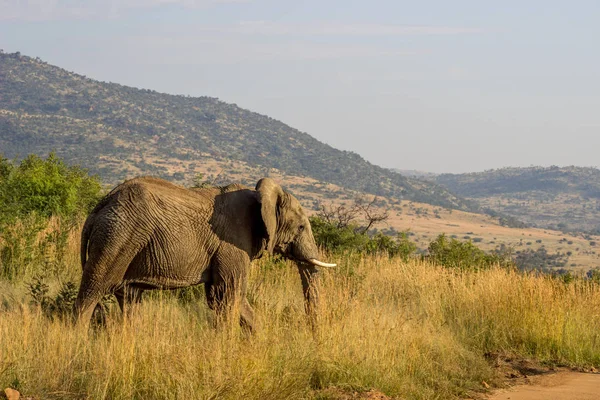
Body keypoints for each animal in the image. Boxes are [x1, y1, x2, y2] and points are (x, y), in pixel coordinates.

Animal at [73, 177, 336, 330]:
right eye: (300, 227)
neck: (260, 195)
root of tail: (100, 206)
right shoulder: (233, 242)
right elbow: (231, 294)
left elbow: (219, 298)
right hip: (117, 236)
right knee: (93, 290)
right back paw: (78, 340)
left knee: (128, 296)